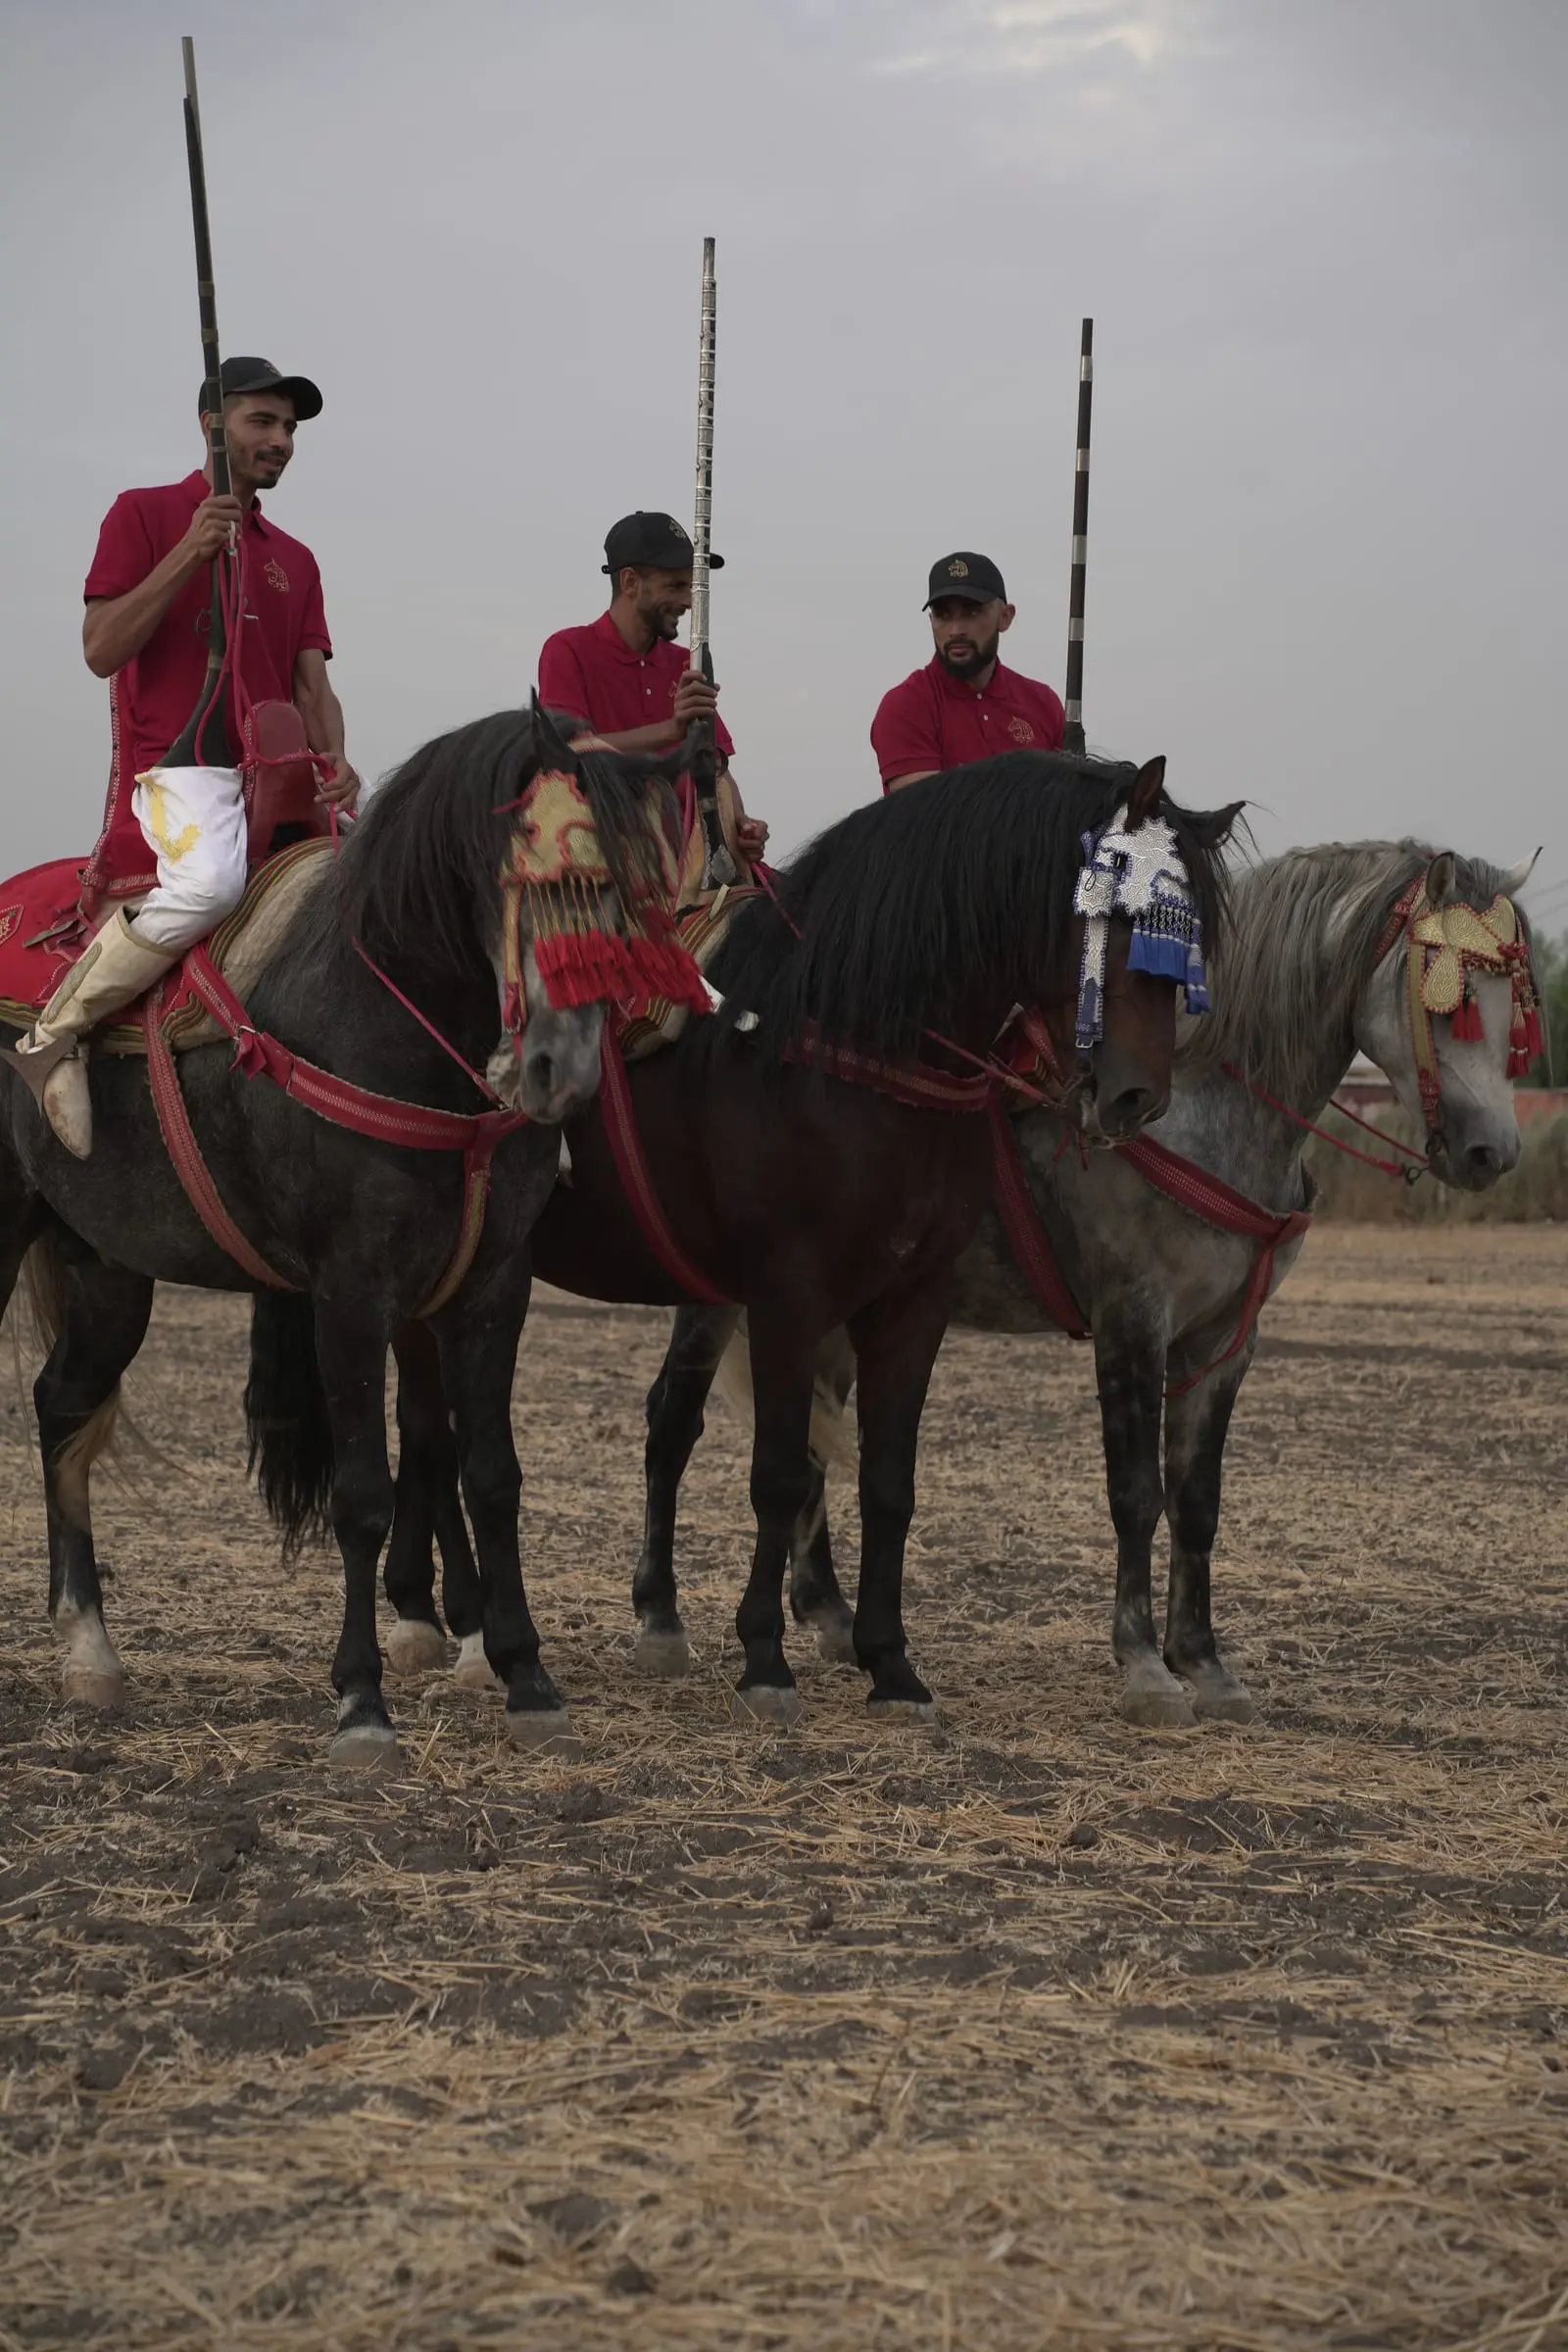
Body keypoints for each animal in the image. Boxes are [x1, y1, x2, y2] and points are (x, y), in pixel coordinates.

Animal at [0, 707, 692, 1765]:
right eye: (527, 881)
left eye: (631, 895)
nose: (559, 1072)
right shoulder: (351, 1292)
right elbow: (364, 1492)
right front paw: (362, 1698)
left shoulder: (493, 1287)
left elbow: (492, 1475)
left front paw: (526, 1675)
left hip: (108, 1267)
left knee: (64, 1405)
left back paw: (90, 1650)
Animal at [293, 751, 1241, 1731]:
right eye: (1127, 916)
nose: (1136, 1097)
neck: (842, 1048)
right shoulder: (790, 1295)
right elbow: (782, 1475)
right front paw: (764, 1660)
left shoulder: (914, 1302)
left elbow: (887, 1481)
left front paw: (890, 1664)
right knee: (431, 1432)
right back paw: (457, 1626)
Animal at [623, 837, 1536, 1729]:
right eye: (1453, 1000)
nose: (1494, 1152)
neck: (1197, 1094)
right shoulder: (1133, 1319)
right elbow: (1136, 1492)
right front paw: (1145, 1667)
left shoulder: (1223, 1341)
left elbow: (1197, 1499)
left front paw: (1205, 1663)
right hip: (724, 1293)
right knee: (674, 1420)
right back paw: (662, 1620)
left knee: (816, 1435)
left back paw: (832, 1615)